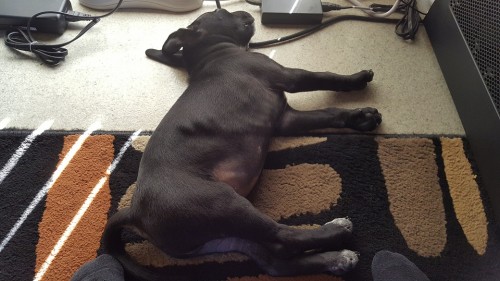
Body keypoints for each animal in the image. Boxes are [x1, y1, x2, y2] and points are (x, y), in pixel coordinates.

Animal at [102, 8, 382, 278]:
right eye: (222, 12)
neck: (213, 52)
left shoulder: (285, 119)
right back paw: (335, 232)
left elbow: (328, 113)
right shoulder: (287, 76)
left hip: (220, 235)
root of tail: (134, 211)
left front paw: (362, 118)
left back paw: (337, 259)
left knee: (275, 262)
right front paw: (357, 79)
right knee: (282, 238)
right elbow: (324, 77)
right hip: (223, 202)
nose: (247, 13)